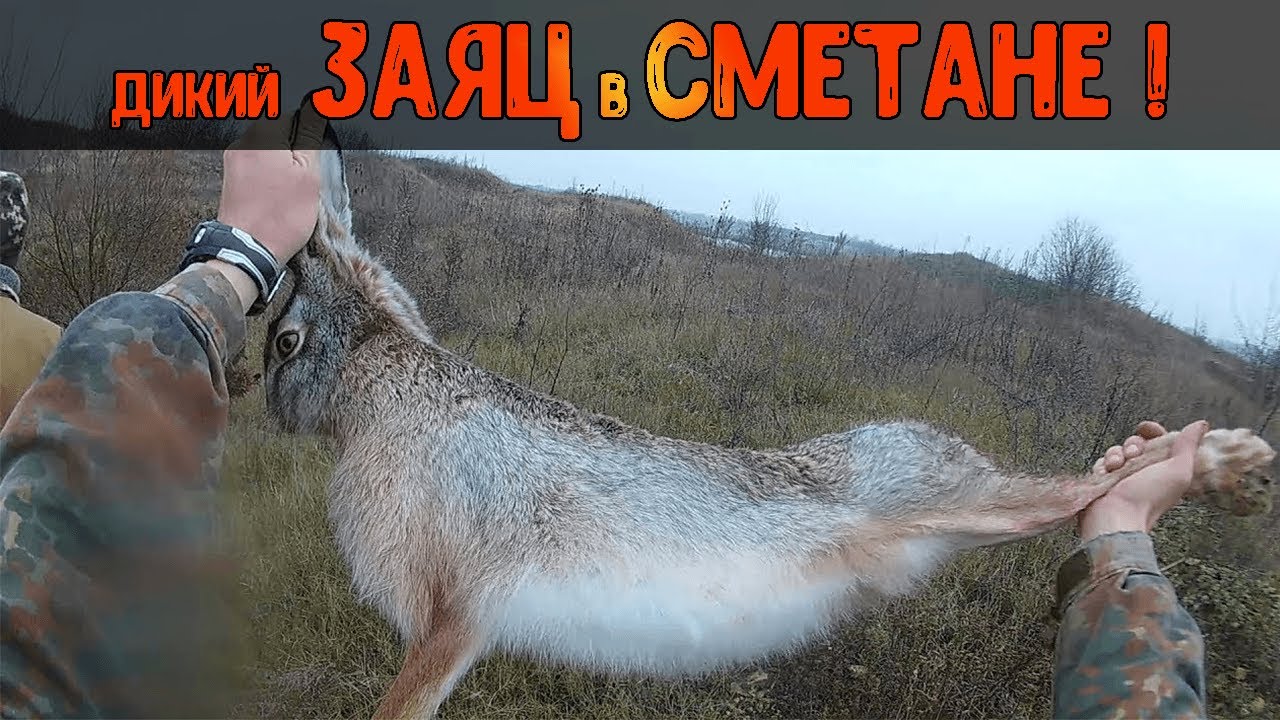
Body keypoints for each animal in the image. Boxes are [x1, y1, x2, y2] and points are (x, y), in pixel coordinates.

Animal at [263, 149, 1276, 719]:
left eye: (285, 340)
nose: (267, 409)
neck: (381, 379)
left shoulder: (451, 616)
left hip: (965, 498)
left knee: (1081, 489)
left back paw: (1234, 465)